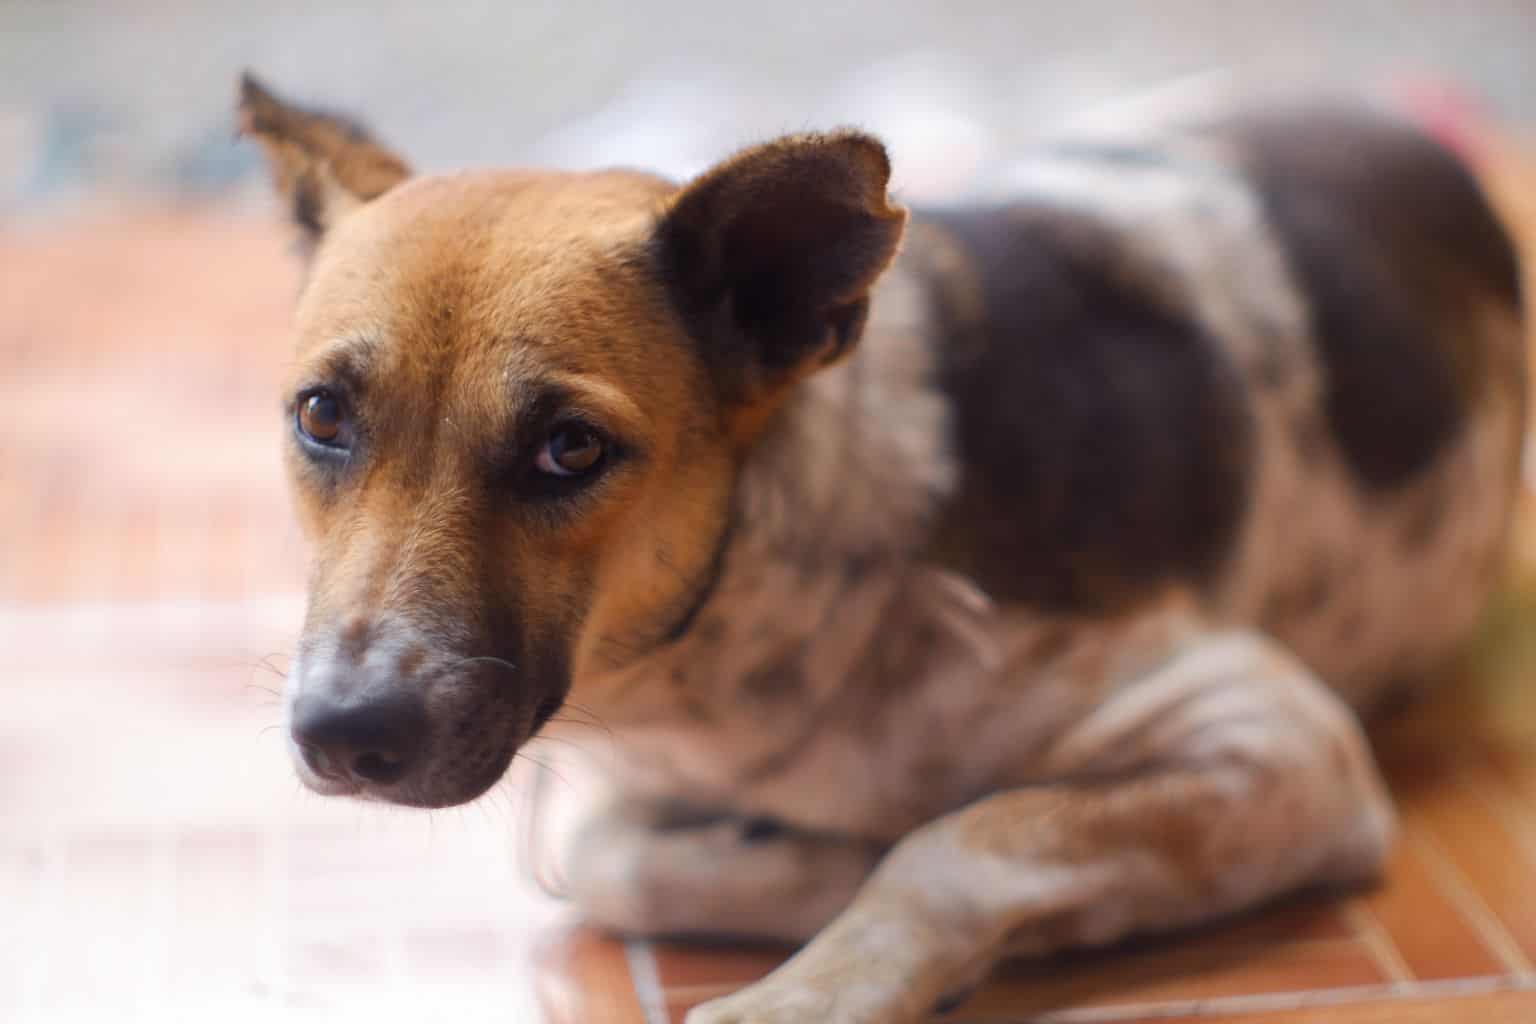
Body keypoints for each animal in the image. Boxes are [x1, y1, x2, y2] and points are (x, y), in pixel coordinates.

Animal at [239, 74, 1523, 1024]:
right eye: (322, 417)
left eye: (569, 448)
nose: (345, 736)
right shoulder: (603, 794)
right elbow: (601, 851)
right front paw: (818, 857)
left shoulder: (1277, 736)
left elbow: (958, 837)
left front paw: (817, 961)